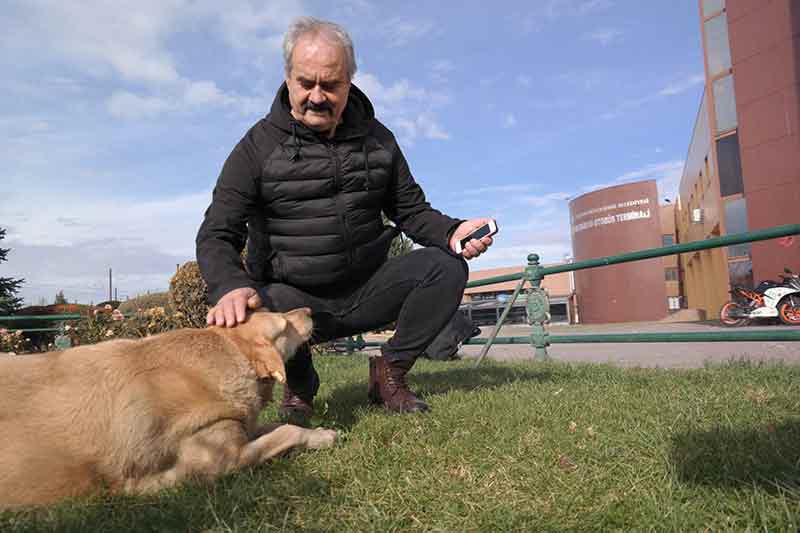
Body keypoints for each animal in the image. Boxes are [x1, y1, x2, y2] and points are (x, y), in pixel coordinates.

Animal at [0, 308, 334, 508]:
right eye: (284, 324)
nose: (309, 310)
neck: (229, 355)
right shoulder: (219, 460)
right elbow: (285, 431)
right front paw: (324, 436)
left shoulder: (237, 427)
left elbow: (278, 425)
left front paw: (318, 431)